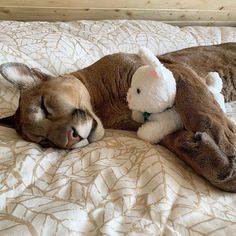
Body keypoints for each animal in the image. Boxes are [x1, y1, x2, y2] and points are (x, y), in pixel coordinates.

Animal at [0, 42, 236, 192]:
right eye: (44, 142)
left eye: (44, 106)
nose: (69, 139)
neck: (104, 103)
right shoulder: (150, 123)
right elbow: (176, 140)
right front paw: (220, 167)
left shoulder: (172, 70)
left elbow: (200, 105)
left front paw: (226, 140)